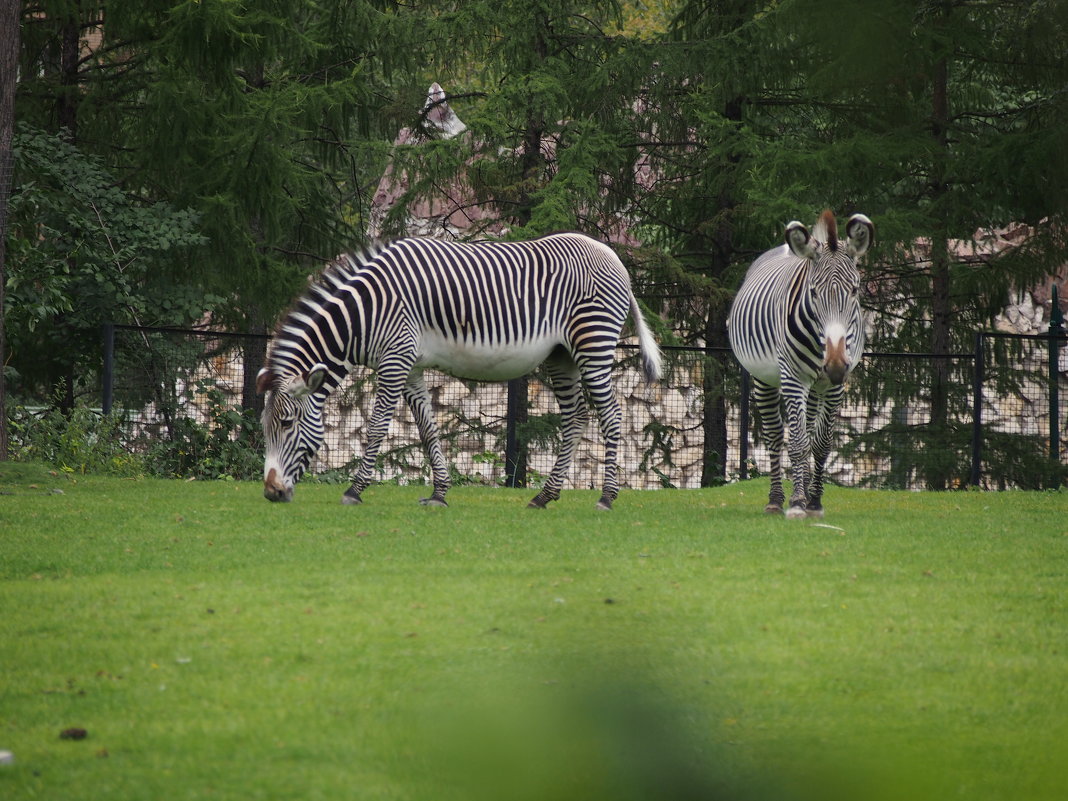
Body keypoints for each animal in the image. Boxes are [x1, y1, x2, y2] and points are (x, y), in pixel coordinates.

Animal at [256, 233, 657, 508]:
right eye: (263, 426)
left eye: (287, 424)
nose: (272, 493)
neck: (364, 314)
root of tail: (612, 255)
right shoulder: (411, 366)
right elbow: (427, 429)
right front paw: (439, 493)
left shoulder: (394, 359)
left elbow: (377, 427)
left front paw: (355, 490)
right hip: (562, 356)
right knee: (575, 417)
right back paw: (544, 496)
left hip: (593, 344)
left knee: (611, 414)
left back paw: (606, 497)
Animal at [726, 210, 875, 516]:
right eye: (814, 292)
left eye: (855, 291)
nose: (835, 365)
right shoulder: (794, 378)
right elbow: (796, 443)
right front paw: (796, 503)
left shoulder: (834, 386)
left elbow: (821, 444)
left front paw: (814, 501)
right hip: (765, 379)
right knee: (774, 435)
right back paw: (776, 500)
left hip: (816, 387)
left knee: (808, 431)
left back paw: (805, 491)